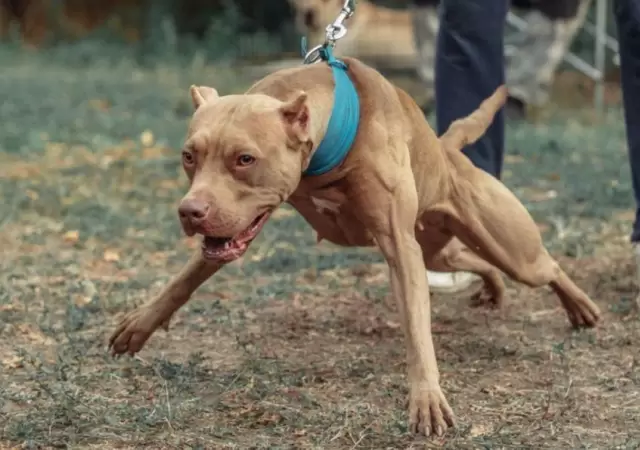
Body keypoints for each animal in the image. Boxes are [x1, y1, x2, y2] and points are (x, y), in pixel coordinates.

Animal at [107, 56, 604, 436]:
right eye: (189, 156)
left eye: (245, 159)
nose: (189, 211)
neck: (329, 144)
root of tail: (445, 151)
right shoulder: (234, 227)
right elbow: (187, 276)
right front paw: (141, 324)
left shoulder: (400, 250)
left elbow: (417, 331)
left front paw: (426, 399)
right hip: (438, 247)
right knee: (477, 262)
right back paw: (495, 288)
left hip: (509, 248)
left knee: (544, 267)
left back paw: (580, 307)